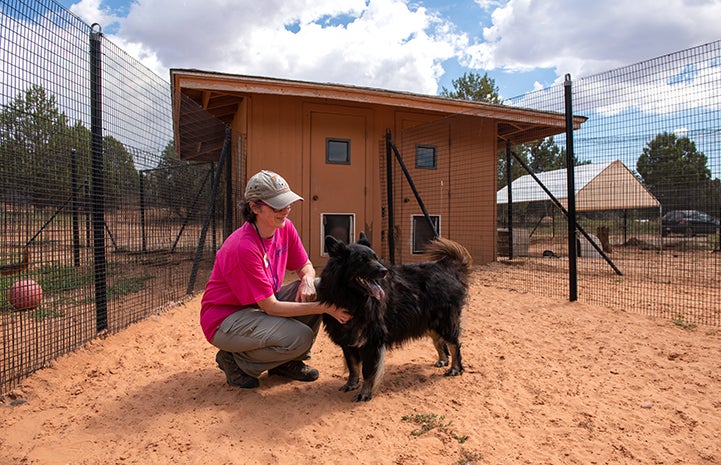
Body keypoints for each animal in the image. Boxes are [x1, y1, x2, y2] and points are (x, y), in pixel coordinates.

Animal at [318, 234, 470, 400]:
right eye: (361, 260)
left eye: (376, 258)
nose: (384, 270)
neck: (353, 298)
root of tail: (446, 267)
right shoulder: (347, 340)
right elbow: (353, 367)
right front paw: (351, 384)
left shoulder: (372, 341)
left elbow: (368, 372)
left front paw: (365, 393)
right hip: (430, 321)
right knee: (439, 341)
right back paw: (443, 360)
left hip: (445, 321)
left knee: (454, 344)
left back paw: (455, 368)